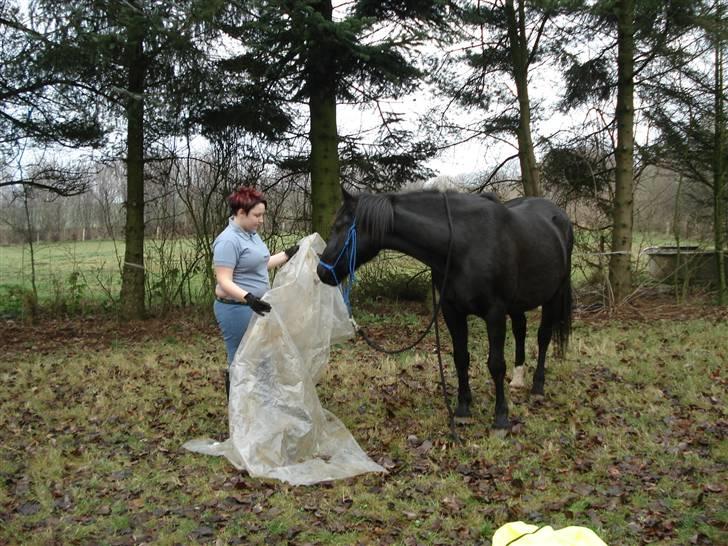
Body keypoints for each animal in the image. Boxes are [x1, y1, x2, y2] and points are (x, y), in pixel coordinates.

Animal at [318, 187, 576, 430]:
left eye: (339, 226)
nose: (322, 271)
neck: (464, 243)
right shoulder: (452, 311)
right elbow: (461, 358)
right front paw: (463, 410)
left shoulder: (494, 313)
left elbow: (496, 364)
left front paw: (501, 417)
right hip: (516, 303)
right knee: (521, 330)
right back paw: (518, 379)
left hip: (553, 295)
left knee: (543, 337)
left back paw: (537, 388)